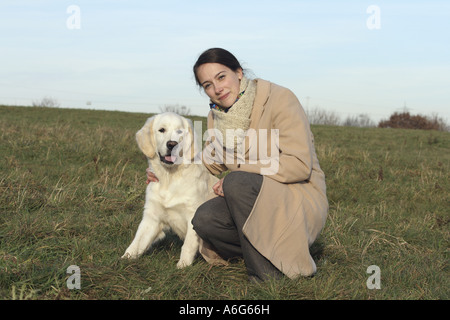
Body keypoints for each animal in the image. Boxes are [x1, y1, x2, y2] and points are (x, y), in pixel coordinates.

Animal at [120, 112, 217, 268]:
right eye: (162, 130)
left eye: (180, 132)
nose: (172, 144)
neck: (169, 178)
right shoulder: (152, 217)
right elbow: (138, 241)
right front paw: (125, 259)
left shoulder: (193, 215)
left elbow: (188, 245)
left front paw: (183, 266)